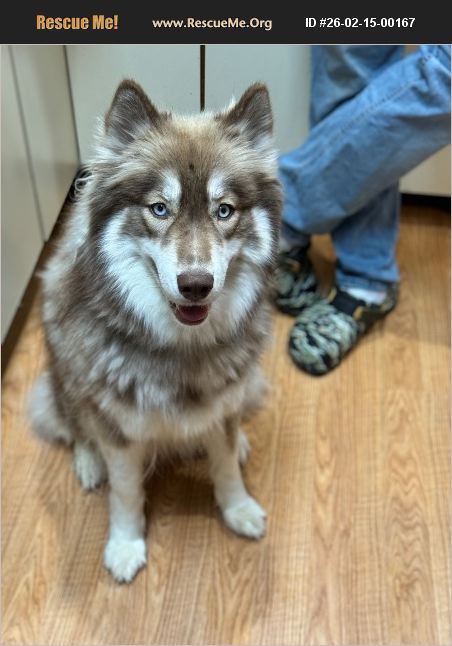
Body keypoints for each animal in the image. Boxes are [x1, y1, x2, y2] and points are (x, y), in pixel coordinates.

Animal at [28, 79, 282, 582]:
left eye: (224, 210)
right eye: (160, 209)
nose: (196, 284)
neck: (182, 347)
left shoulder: (223, 403)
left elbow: (225, 463)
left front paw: (238, 507)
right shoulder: (120, 431)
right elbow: (126, 492)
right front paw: (125, 544)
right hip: (64, 364)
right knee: (73, 422)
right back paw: (88, 461)